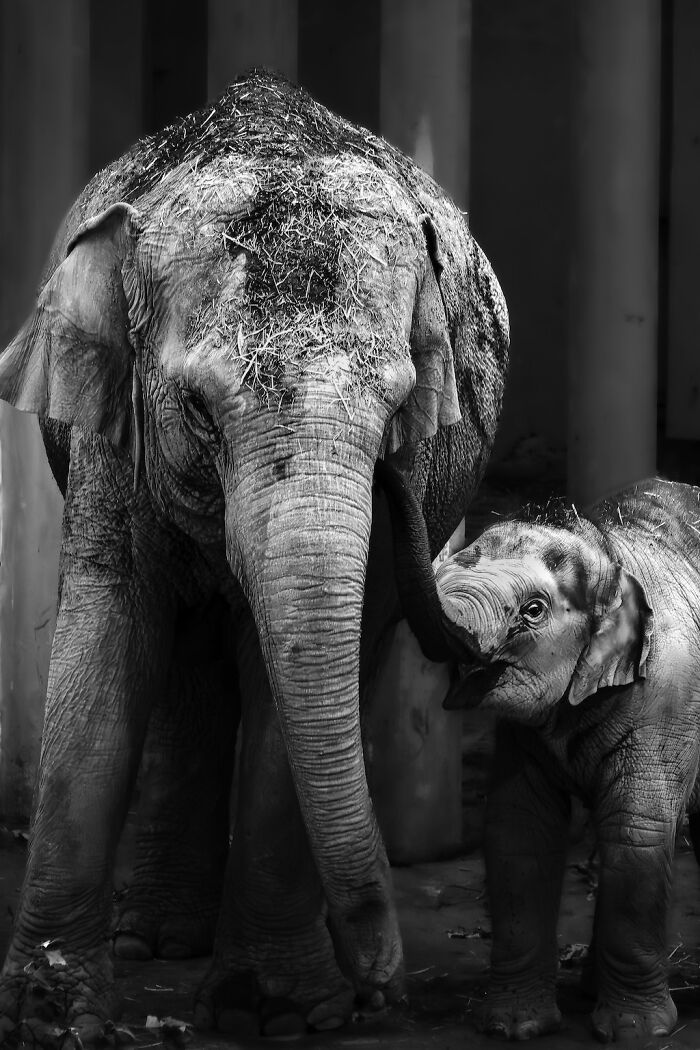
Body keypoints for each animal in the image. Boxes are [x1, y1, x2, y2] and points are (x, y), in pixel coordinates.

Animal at [0, 71, 510, 1041]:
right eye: (200, 410)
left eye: (399, 412)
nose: (387, 988)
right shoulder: (109, 437)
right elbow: (107, 644)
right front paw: (48, 1015)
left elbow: (294, 673)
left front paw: (282, 1013)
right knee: (189, 669)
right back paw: (152, 942)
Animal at [398, 476, 700, 1041]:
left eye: (533, 611)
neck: (611, 552)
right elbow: (519, 830)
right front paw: (513, 1026)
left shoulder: (667, 699)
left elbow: (636, 830)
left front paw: (635, 1033)